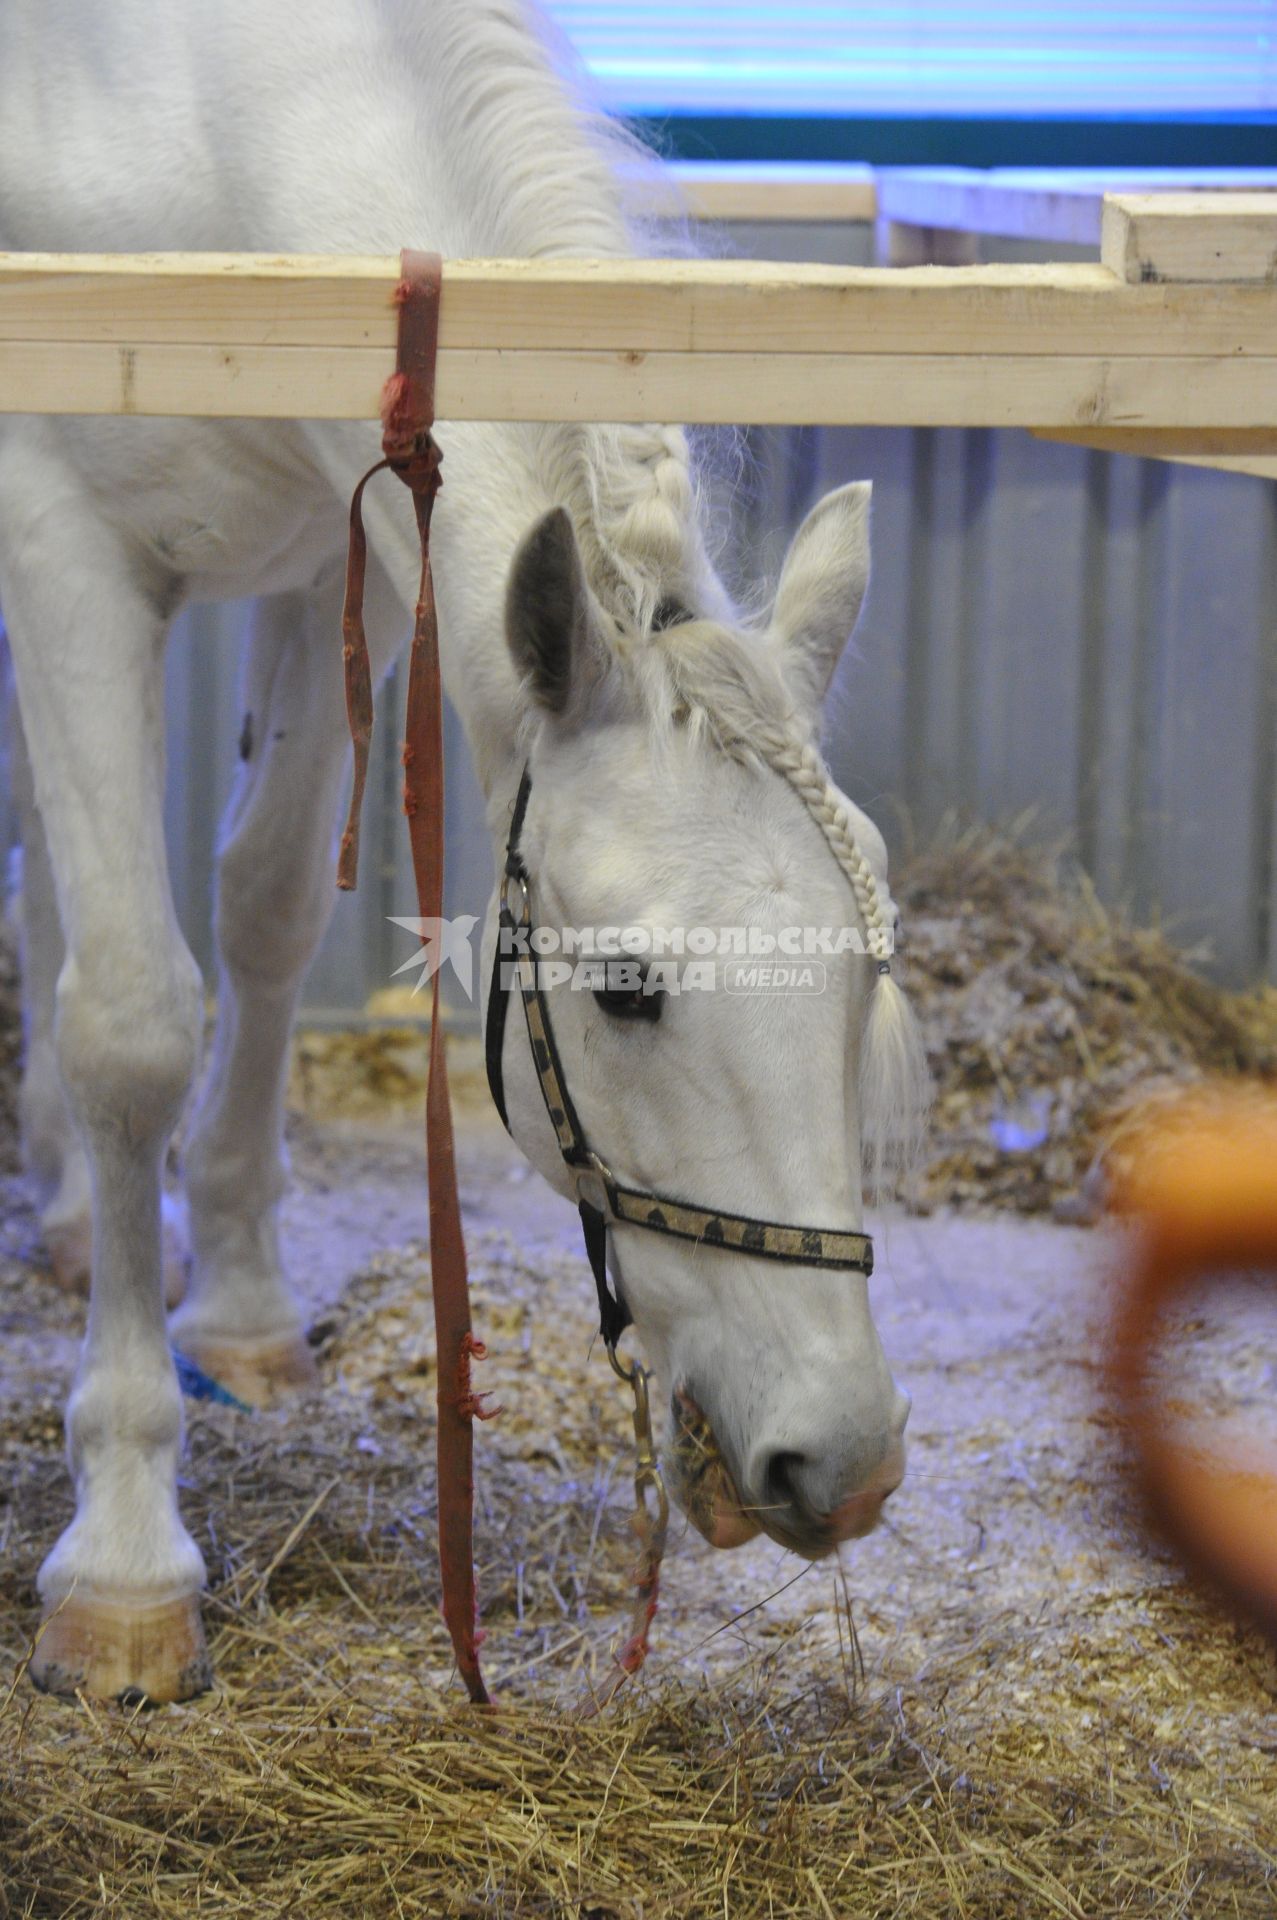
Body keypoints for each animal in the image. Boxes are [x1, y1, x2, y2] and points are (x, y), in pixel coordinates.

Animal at [0, 0, 921, 1704]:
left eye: (858, 985)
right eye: (625, 991)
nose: (846, 1460)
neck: (195, 106)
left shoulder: (333, 556)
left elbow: (266, 910)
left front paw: (236, 1302)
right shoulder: (62, 542)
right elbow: (134, 1019)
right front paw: (125, 1556)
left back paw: (87, 1213)